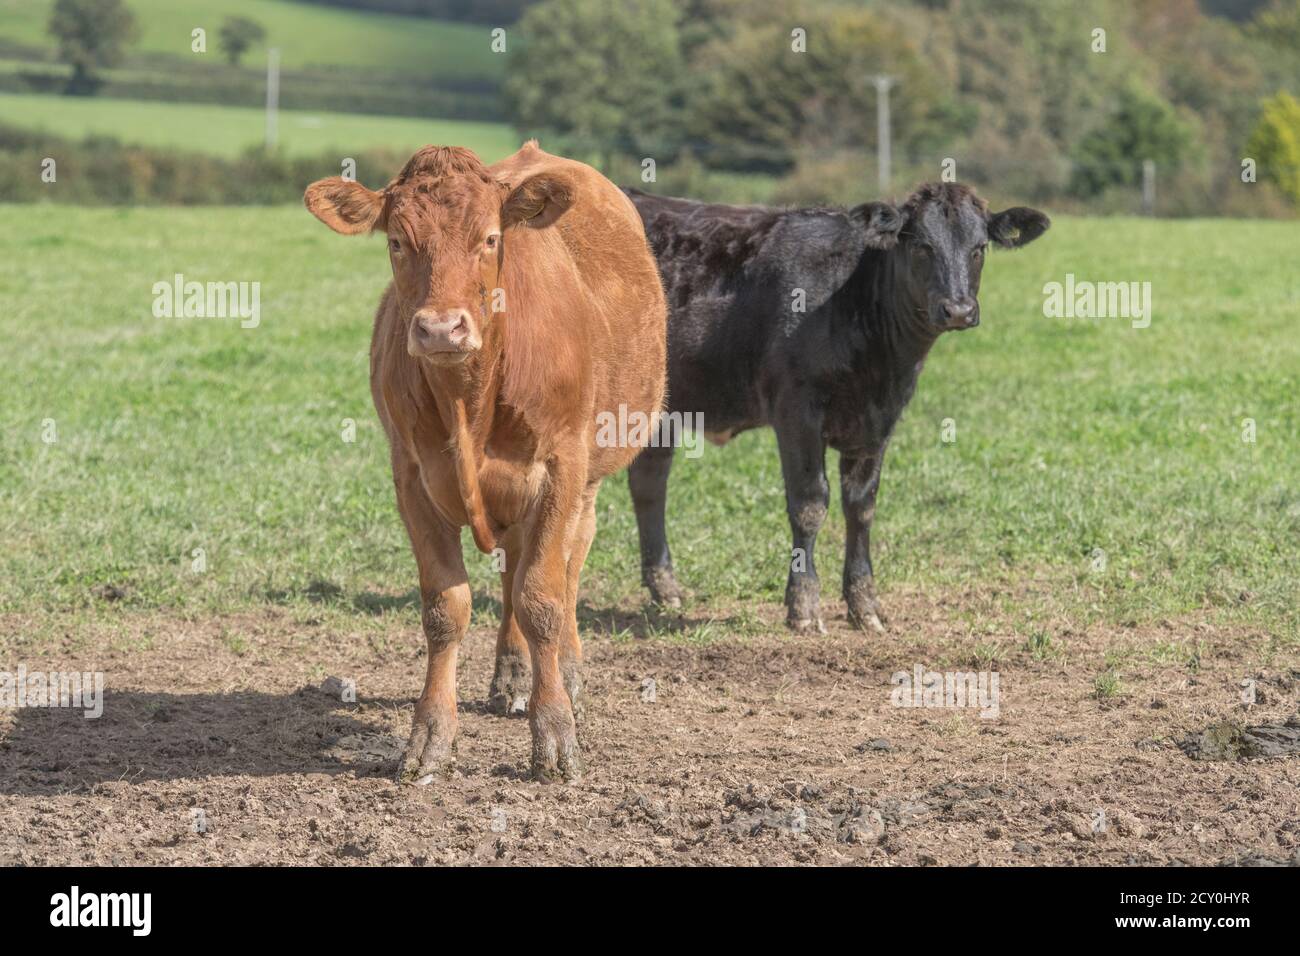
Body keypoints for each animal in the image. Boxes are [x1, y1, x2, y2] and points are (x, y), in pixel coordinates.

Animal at [304, 143, 665, 785]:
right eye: (396, 241)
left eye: (492, 239)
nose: (440, 328)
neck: (468, 396)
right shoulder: (411, 477)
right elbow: (446, 608)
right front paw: (430, 738)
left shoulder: (562, 465)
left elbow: (543, 598)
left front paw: (555, 735)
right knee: (514, 566)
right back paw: (514, 673)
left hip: (588, 475)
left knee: (567, 563)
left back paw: (567, 671)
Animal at [624, 183, 1050, 634]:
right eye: (921, 246)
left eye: (979, 248)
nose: (959, 310)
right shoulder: (796, 411)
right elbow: (810, 505)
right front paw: (804, 606)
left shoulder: (879, 419)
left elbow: (861, 507)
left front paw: (865, 604)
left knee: (649, 483)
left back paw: (667, 590)